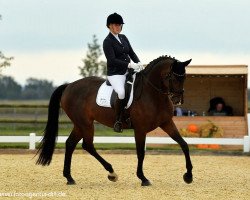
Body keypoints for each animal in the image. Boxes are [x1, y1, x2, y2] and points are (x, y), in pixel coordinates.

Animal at [36, 55, 193, 186]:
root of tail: (69, 86)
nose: (178, 100)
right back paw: (111, 173)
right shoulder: (140, 129)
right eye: (172, 77)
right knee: (87, 145)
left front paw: (188, 176)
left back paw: (69, 177)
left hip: (80, 124)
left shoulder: (166, 123)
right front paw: (143, 178)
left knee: (70, 144)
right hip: (85, 124)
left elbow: (184, 144)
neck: (153, 94)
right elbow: (140, 153)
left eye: (184, 77)